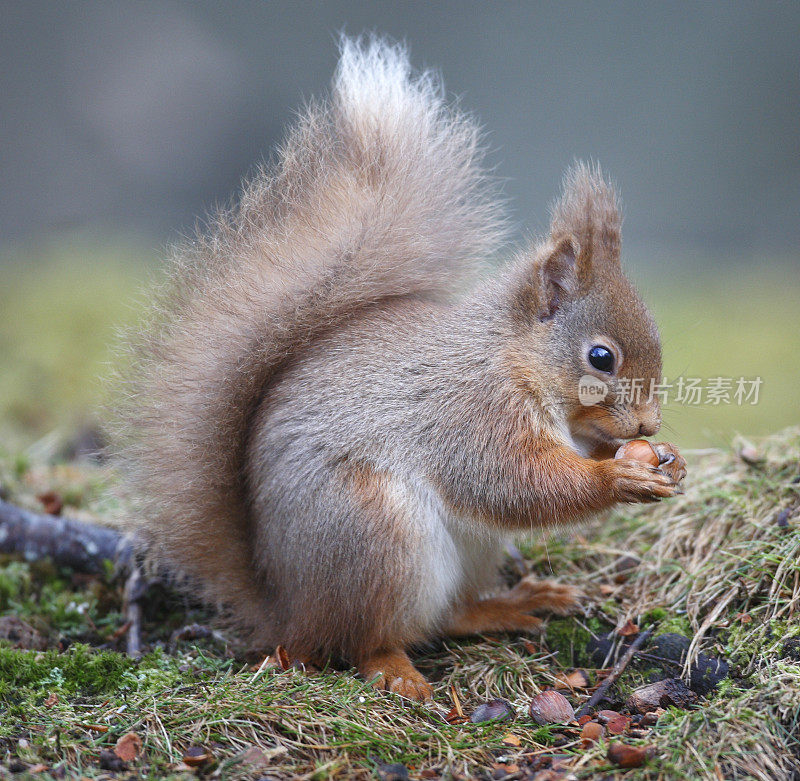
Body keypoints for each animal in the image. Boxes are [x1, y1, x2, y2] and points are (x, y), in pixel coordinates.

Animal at [112, 35, 688, 700]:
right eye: (601, 357)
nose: (648, 426)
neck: (509, 357)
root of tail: (286, 609)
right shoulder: (473, 413)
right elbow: (516, 482)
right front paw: (619, 477)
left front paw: (663, 461)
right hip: (374, 534)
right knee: (359, 641)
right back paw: (396, 670)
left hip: (468, 549)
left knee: (446, 616)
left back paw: (511, 604)